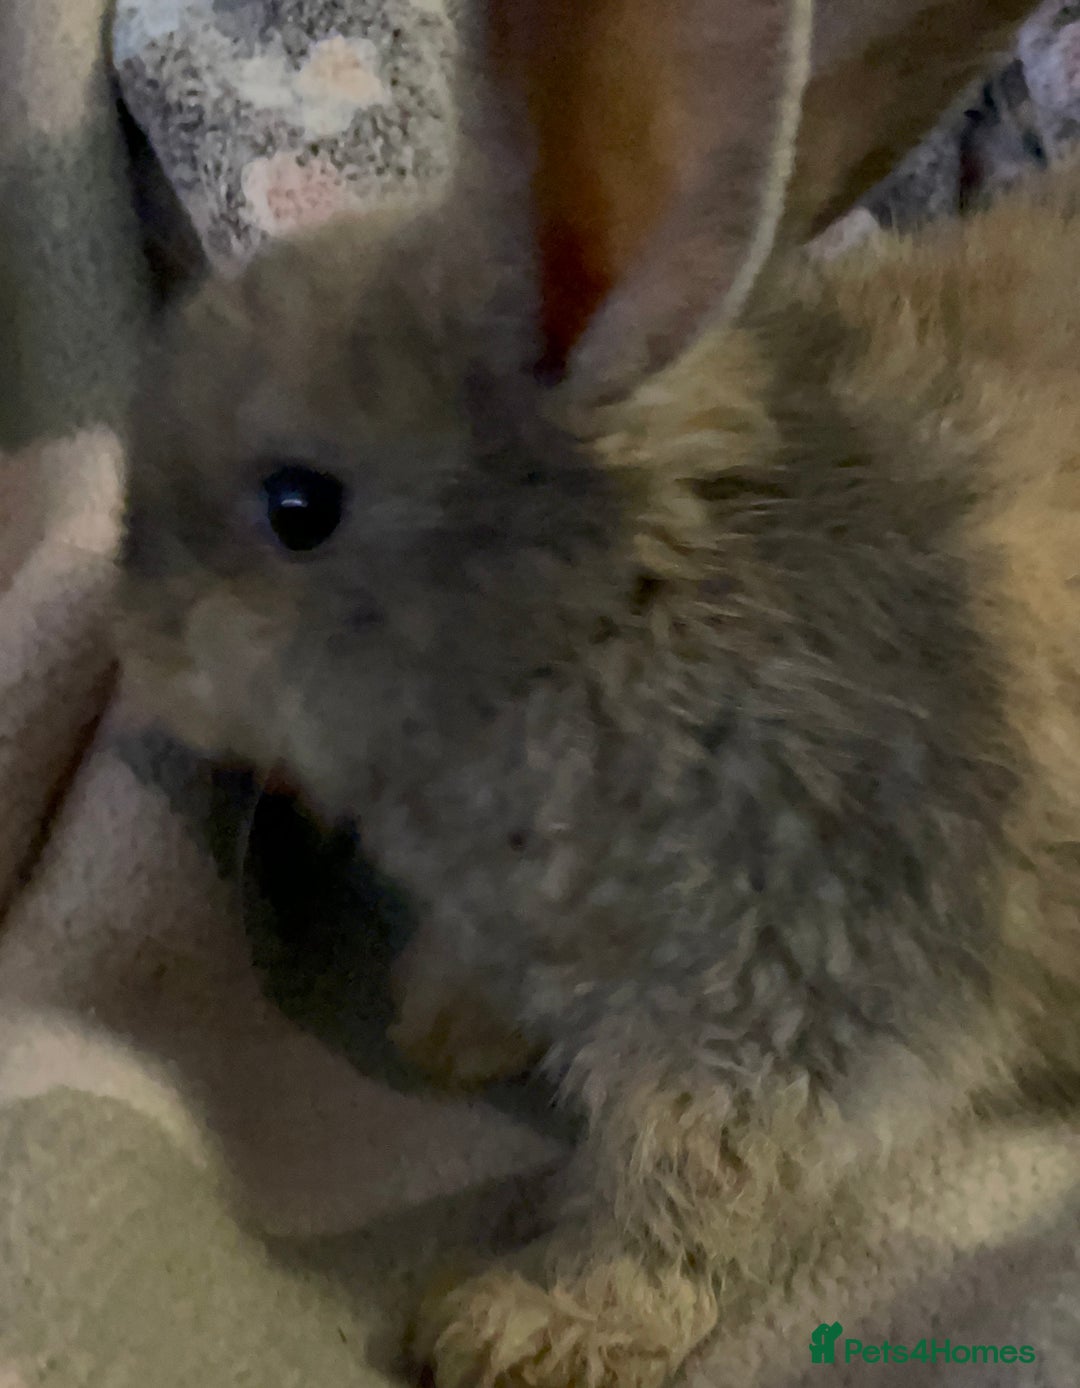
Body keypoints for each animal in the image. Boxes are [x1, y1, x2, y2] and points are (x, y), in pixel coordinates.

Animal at [116, 0, 1080, 1384]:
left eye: (299, 507)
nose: (132, 651)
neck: (611, 617)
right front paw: (447, 1025)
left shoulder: (786, 990)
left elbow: (688, 1178)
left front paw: (526, 1323)